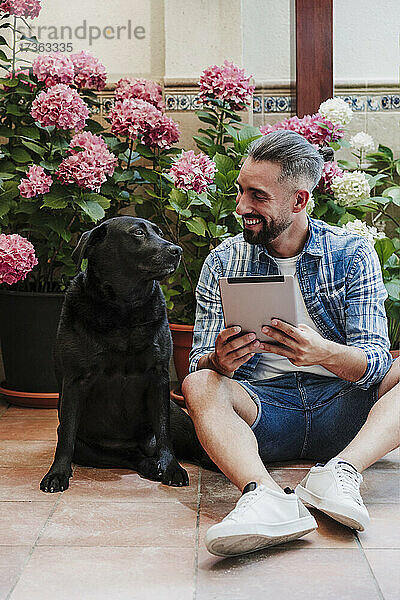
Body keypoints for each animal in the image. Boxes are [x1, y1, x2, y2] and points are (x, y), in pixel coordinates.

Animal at [39, 216, 211, 492]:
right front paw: (57, 473)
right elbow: (65, 438)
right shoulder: (74, 381)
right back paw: (151, 466)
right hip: (90, 450)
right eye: (138, 233)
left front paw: (172, 468)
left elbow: (164, 434)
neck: (124, 307)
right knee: (131, 457)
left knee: (192, 444)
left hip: (179, 418)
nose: (177, 250)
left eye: (159, 232)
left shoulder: (159, 377)